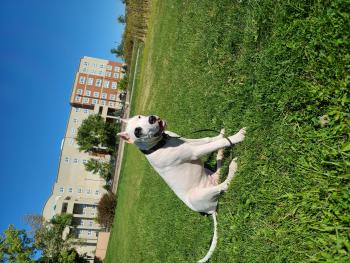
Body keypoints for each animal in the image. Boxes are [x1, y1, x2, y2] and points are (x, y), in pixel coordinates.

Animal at [117, 114, 246, 262]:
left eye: (139, 116)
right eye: (137, 132)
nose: (152, 118)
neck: (160, 144)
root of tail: (210, 211)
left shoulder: (189, 142)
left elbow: (208, 139)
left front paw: (222, 134)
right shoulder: (194, 151)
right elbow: (215, 143)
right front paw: (237, 136)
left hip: (208, 174)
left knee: (218, 175)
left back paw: (220, 154)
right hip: (197, 195)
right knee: (223, 185)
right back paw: (232, 165)